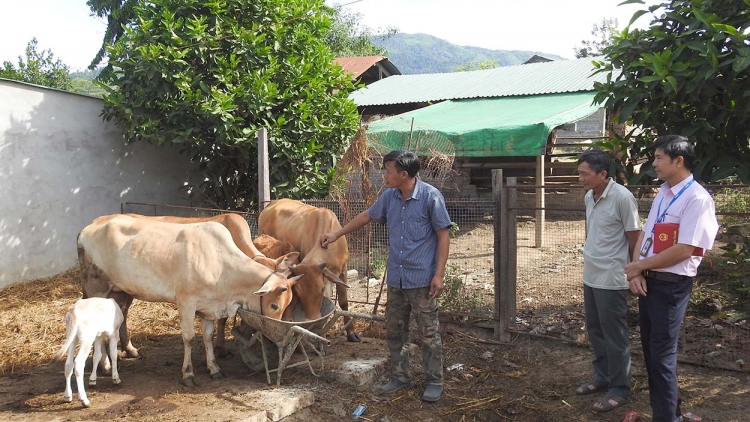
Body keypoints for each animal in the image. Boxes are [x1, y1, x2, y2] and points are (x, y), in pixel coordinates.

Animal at [76, 214, 300, 386]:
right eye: (274, 305)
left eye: (289, 303)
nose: (276, 336)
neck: (221, 265)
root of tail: (86, 229)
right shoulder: (186, 303)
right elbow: (189, 338)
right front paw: (188, 374)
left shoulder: (209, 307)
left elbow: (208, 336)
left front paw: (214, 368)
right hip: (97, 289)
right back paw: (105, 366)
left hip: (120, 291)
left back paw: (125, 353)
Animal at [260, 199, 360, 342]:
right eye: (298, 292)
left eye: (321, 289)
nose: (312, 318)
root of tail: (271, 203)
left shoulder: (343, 270)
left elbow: (343, 302)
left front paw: (351, 333)